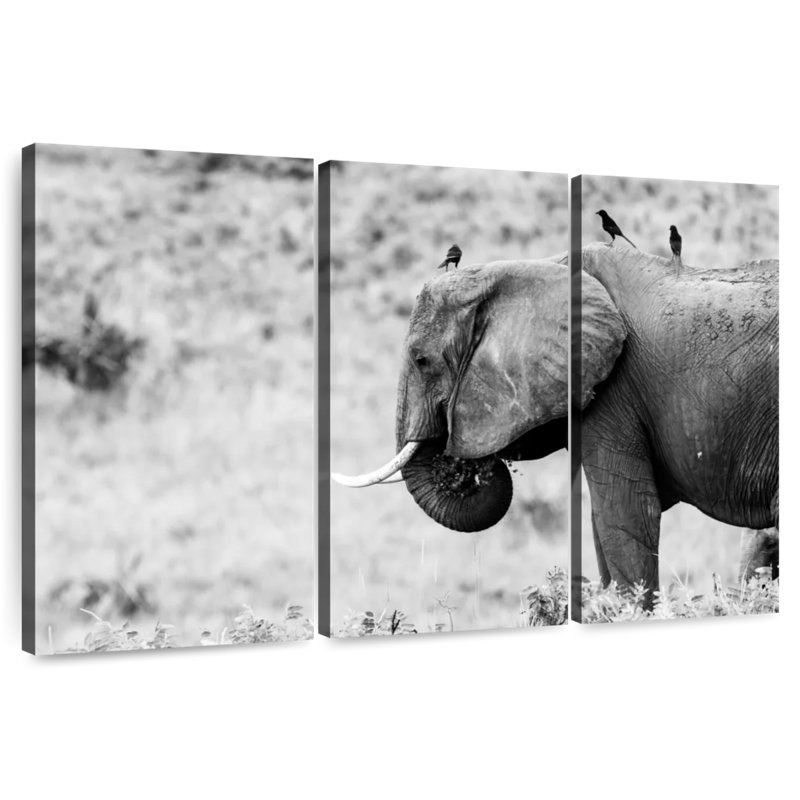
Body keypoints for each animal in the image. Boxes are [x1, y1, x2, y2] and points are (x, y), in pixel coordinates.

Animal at [333, 244, 778, 608]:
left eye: (421, 360)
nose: (461, 464)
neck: (542, 265)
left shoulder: (614, 388)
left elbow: (625, 512)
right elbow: (603, 524)